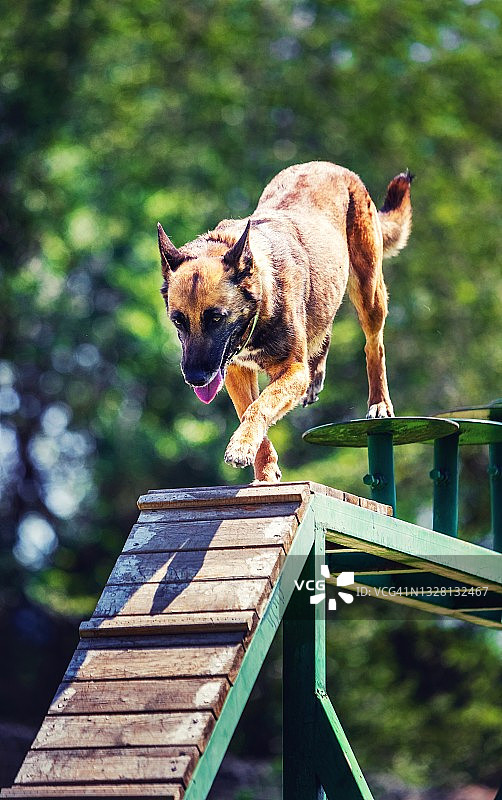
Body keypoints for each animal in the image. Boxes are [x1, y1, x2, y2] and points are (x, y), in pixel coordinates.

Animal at [157, 161, 412, 482]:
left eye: (216, 318)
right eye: (178, 321)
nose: (195, 379)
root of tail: (330, 166)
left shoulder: (292, 371)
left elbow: (260, 407)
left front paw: (242, 446)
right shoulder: (237, 372)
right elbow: (249, 408)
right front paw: (264, 470)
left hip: (369, 292)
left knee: (373, 346)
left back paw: (379, 402)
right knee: (323, 330)